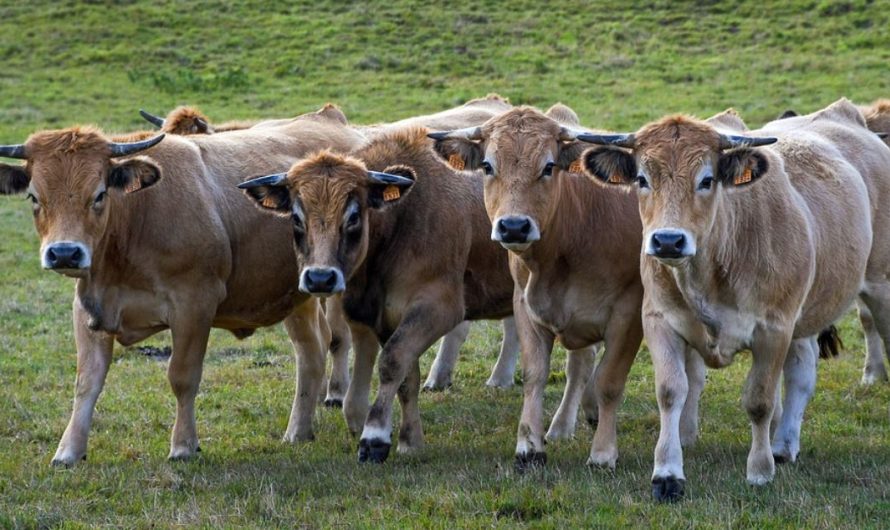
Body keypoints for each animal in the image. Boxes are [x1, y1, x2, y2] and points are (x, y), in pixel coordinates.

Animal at [0, 107, 366, 465]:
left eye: (99, 194)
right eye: (34, 196)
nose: (64, 252)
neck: (136, 219)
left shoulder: (194, 305)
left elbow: (182, 376)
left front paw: (183, 445)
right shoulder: (89, 308)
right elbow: (87, 382)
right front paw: (69, 451)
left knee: (336, 342)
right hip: (299, 296)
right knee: (311, 350)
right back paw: (298, 431)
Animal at [428, 104, 651, 472]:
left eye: (548, 166)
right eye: (487, 166)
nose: (514, 226)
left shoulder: (628, 313)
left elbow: (610, 381)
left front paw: (603, 453)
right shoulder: (526, 305)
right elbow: (535, 374)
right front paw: (529, 446)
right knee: (580, 365)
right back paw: (564, 425)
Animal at [577, 98, 890, 501]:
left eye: (707, 179)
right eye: (642, 179)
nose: (667, 240)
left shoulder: (773, 329)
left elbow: (759, 400)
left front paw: (759, 471)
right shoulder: (660, 321)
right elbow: (671, 391)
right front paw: (667, 473)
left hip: (879, 286)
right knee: (802, 372)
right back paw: (784, 445)